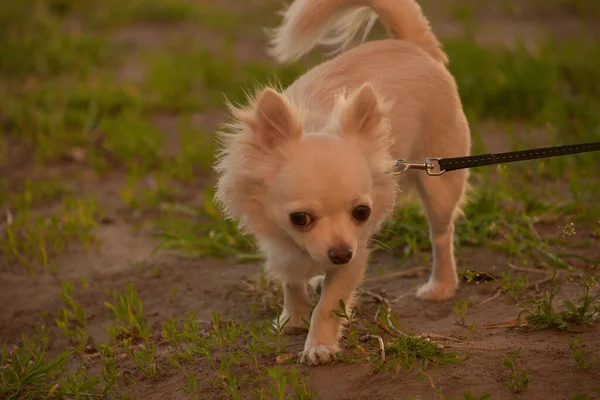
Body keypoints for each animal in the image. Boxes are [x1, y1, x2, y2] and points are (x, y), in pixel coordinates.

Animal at [213, 0, 472, 364]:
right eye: (299, 219)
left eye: (362, 212)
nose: (339, 253)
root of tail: (412, 44)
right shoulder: (281, 242)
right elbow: (291, 280)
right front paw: (292, 317)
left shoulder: (357, 251)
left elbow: (329, 303)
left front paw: (319, 345)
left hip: (440, 179)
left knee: (441, 234)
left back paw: (442, 285)